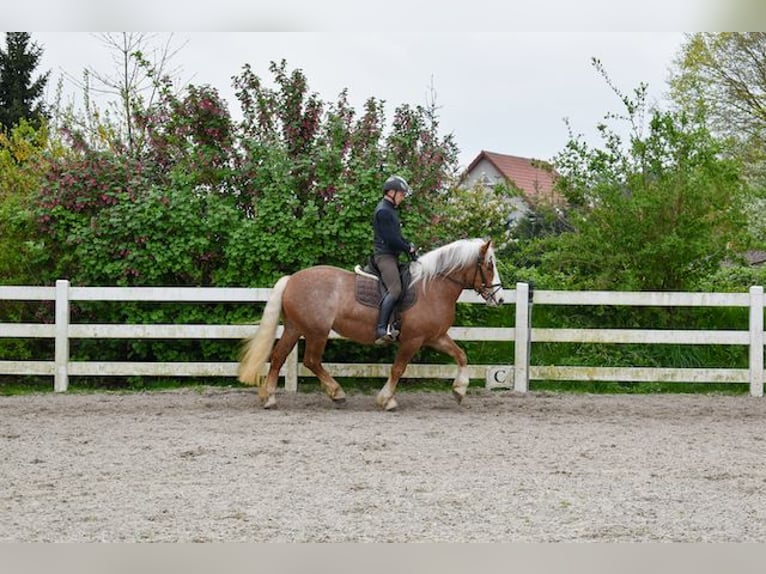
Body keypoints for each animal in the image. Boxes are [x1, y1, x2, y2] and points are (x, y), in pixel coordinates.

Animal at [238, 237, 504, 410]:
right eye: (489, 265)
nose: (500, 298)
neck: (433, 287)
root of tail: (292, 279)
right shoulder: (412, 340)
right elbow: (398, 369)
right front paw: (387, 399)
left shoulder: (435, 337)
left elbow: (461, 356)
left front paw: (459, 391)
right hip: (316, 332)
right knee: (311, 361)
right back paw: (336, 393)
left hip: (295, 328)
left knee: (279, 357)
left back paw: (270, 397)